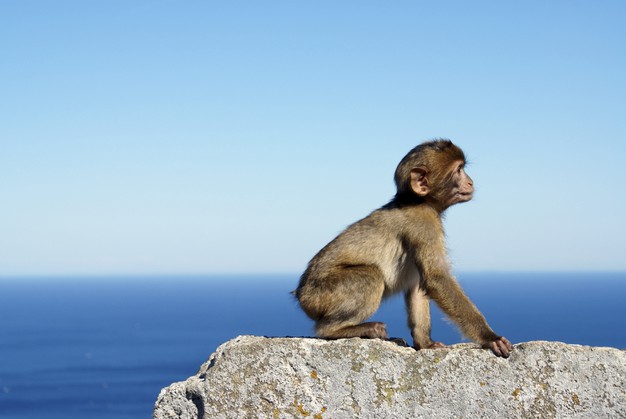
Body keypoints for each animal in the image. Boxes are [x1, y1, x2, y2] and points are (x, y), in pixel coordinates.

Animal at [294, 139, 510, 356]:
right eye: (458, 170)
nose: (470, 182)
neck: (417, 200)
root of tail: (301, 295)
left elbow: (417, 285)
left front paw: (425, 343)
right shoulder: (424, 222)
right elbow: (437, 278)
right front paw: (490, 337)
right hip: (320, 294)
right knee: (370, 276)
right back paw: (338, 329)